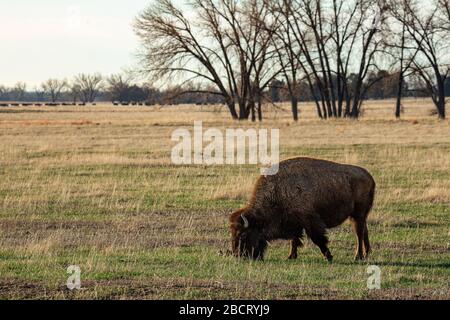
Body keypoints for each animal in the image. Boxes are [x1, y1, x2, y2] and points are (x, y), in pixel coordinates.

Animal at [230, 158, 374, 262]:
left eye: (242, 234)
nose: (238, 255)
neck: (278, 193)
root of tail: (370, 177)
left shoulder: (310, 222)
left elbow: (318, 239)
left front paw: (328, 257)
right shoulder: (295, 223)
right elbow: (294, 240)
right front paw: (291, 256)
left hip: (358, 214)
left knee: (359, 233)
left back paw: (358, 256)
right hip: (358, 216)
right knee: (364, 231)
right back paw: (367, 254)